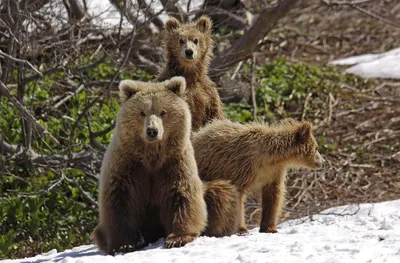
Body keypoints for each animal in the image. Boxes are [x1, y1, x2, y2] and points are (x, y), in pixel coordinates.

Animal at [92, 76, 239, 256]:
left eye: (163, 112)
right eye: (142, 112)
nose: (152, 131)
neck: (152, 156)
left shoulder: (174, 163)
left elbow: (183, 195)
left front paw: (177, 238)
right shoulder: (126, 164)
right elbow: (119, 200)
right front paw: (125, 244)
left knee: (221, 193)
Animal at [192, 119, 326, 235]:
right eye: (316, 147)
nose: (323, 162)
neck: (270, 158)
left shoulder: (273, 173)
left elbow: (273, 197)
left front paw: (270, 228)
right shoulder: (241, 167)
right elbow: (238, 197)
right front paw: (241, 228)